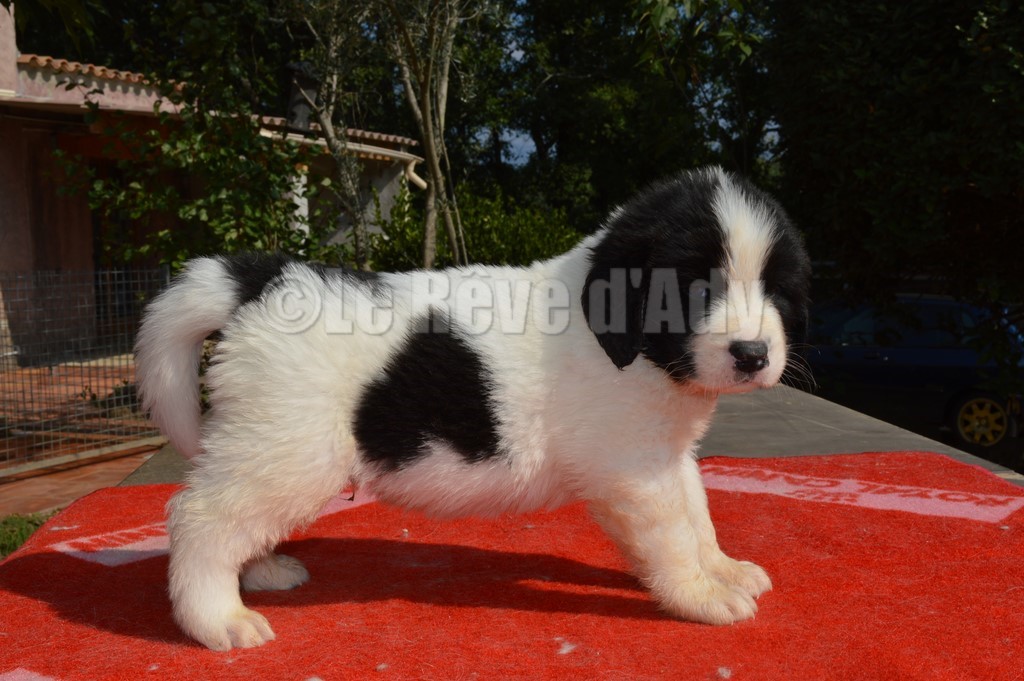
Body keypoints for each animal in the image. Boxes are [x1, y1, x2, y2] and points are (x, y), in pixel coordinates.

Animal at [135, 166, 811, 651]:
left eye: (776, 288)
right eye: (694, 287)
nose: (753, 353)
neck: (626, 343)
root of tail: (263, 279)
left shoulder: (668, 457)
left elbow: (699, 517)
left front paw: (723, 569)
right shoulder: (634, 472)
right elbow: (672, 537)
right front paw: (699, 596)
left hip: (270, 450)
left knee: (235, 519)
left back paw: (260, 570)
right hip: (287, 449)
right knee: (200, 518)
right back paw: (217, 618)